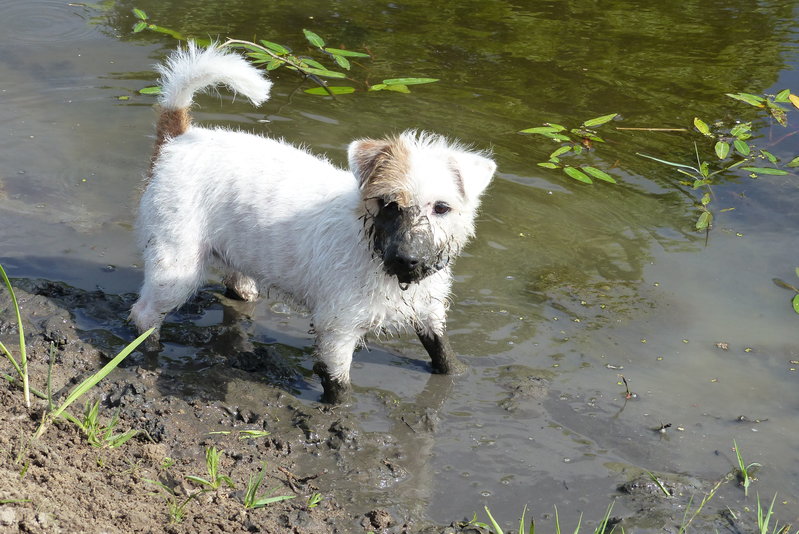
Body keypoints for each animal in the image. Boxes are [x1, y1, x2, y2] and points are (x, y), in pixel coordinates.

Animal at [130, 44, 494, 404]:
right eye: (389, 204)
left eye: (442, 207)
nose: (408, 261)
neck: (370, 249)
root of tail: (178, 139)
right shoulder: (338, 331)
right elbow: (339, 389)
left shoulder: (429, 313)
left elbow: (446, 358)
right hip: (175, 267)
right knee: (144, 314)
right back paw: (149, 356)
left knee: (235, 289)